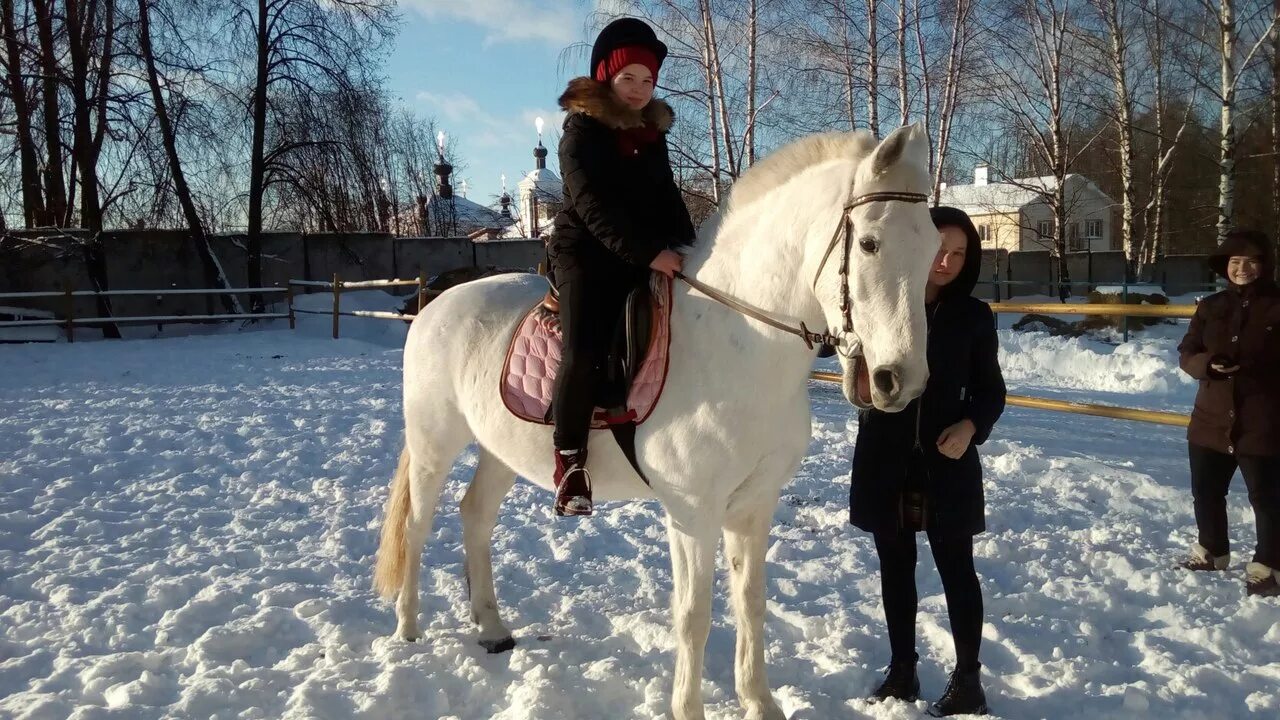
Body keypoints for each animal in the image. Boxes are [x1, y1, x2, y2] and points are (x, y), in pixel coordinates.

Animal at [373, 123, 939, 720]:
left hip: (499, 451)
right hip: (434, 444)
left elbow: (752, 605)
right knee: (417, 525)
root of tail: (436, 303)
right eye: (870, 243)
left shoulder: (753, 506)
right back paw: (407, 627)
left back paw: (491, 628)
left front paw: (759, 702)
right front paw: (689, 709)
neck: (739, 341)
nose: (901, 380)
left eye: (931, 249)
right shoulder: (692, 513)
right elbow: (693, 617)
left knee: (475, 516)